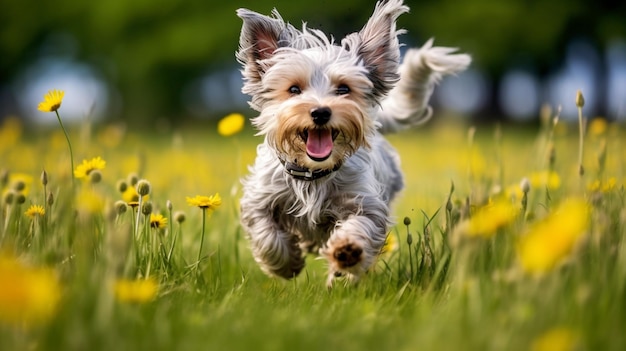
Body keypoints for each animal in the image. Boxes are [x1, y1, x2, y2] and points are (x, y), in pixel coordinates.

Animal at [234, 0, 468, 288]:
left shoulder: (365, 202)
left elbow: (360, 225)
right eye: (294, 89)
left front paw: (347, 252)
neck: (313, 174)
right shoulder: (260, 198)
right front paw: (286, 263)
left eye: (344, 89)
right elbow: (266, 233)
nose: (320, 112)